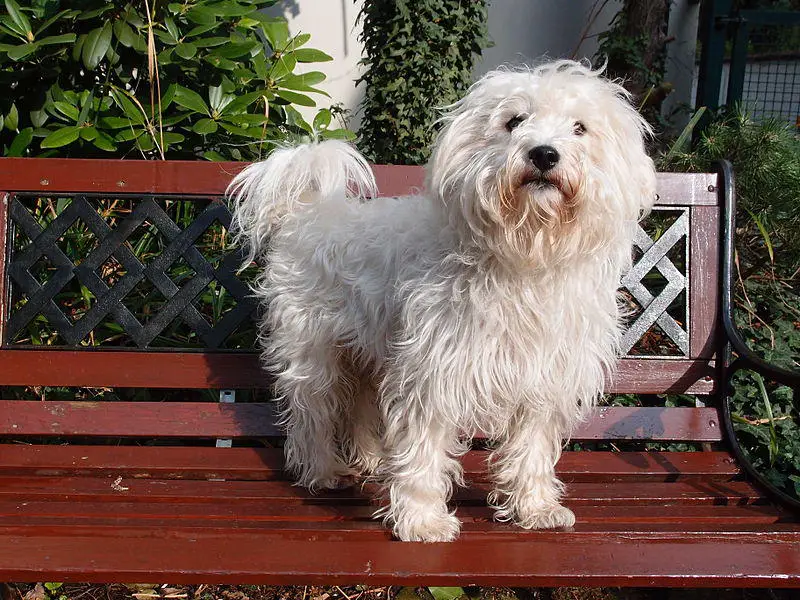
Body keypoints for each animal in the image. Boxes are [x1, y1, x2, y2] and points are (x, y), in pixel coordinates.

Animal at [227, 58, 656, 540]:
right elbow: (423, 449)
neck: (525, 257)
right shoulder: (433, 372)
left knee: (359, 406)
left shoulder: (544, 379)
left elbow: (530, 449)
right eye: (514, 121)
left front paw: (535, 508)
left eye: (580, 127)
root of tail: (306, 211)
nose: (544, 153)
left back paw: (372, 460)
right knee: (312, 416)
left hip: (368, 354)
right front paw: (422, 520)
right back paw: (323, 471)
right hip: (314, 355)